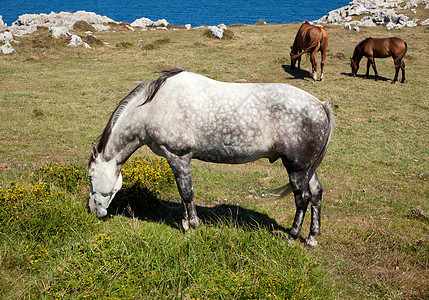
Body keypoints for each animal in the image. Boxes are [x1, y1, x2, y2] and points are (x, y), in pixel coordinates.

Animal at [88, 69, 334, 247]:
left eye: (90, 176)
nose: (93, 211)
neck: (152, 107)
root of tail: (320, 106)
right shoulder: (175, 159)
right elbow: (183, 193)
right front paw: (186, 223)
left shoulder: (178, 156)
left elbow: (187, 193)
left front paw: (192, 225)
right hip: (307, 170)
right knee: (316, 193)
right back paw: (312, 237)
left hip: (296, 169)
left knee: (302, 199)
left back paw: (292, 235)